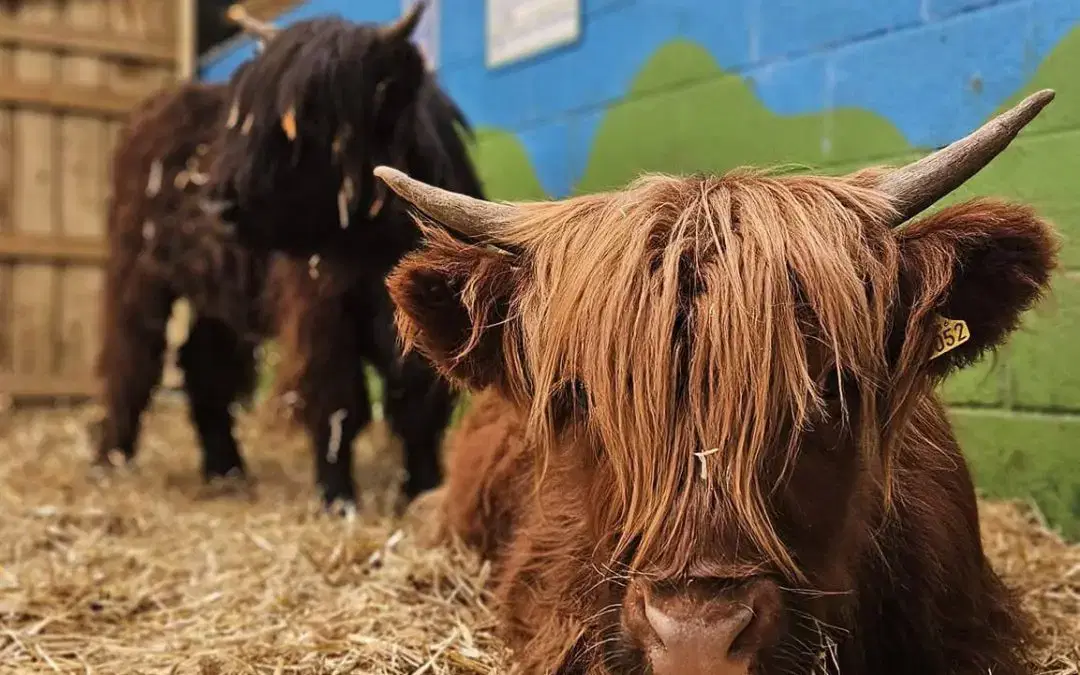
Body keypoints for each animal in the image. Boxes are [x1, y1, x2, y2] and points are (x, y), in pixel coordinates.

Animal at [94, 1, 484, 511]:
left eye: (313, 115)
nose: (219, 205)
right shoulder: (321, 312)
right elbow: (337, 400)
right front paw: (338, 498)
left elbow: (417, 399)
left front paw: (423, 489)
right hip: (137, 274)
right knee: (130, 358)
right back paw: (110, 461)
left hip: (219, 299)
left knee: (203, 365)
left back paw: (227, 470)